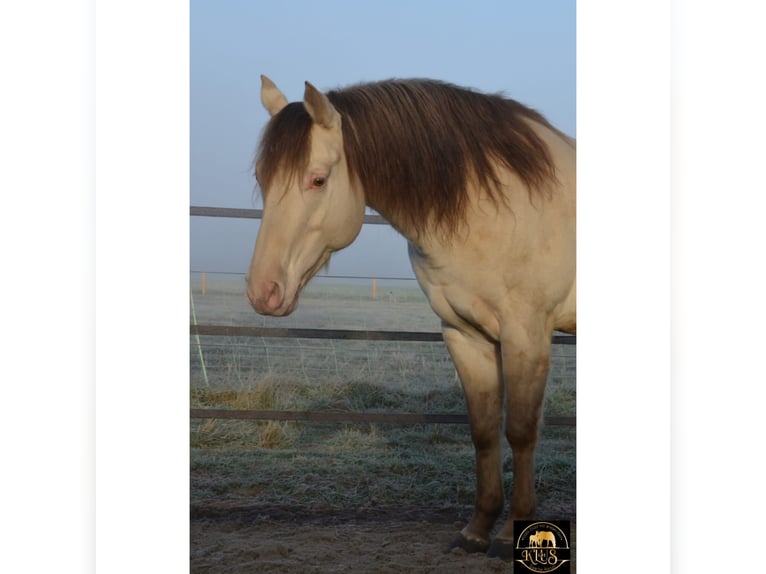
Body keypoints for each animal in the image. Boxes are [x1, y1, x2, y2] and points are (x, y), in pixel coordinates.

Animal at [246, 76, 575, 559]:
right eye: (262, 178)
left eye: (318, 179)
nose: (262, 291)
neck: (498, 207)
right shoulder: (465, 336)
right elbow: (483, 431)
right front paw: (476, 530)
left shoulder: (527, 335)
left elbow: (520, 431)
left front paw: (510, 530)